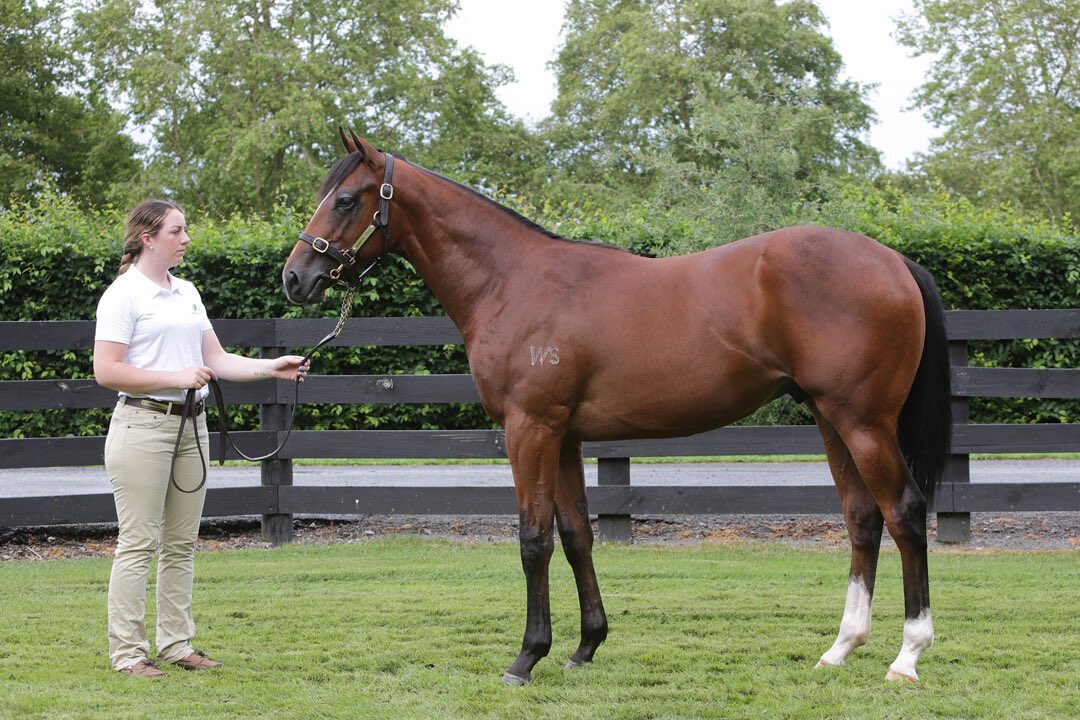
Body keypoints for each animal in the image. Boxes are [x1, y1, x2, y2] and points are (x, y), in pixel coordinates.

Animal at [282, 131, 950, 686]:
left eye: (346, 200)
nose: (294, 277)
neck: (512, 281)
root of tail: (893, 260)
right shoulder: (566, 436)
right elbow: (577, 535)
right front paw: (584, 647)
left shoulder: (530, 430)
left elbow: (533, 539)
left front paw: (526, 658)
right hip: (831, 418)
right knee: (861, 518)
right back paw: (841, 647)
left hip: (863, 423)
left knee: (904, 513)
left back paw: (907, 656)